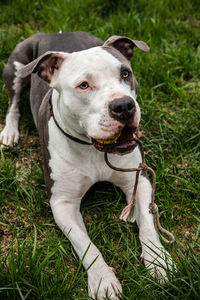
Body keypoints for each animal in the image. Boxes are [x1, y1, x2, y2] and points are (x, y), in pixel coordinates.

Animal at [0, 31, 173, 298]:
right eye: (84, 85)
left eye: (125, 73)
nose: (123, 106)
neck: (94, 150)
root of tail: (55, 32)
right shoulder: (63, 203)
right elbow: (85, 244)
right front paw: (102, 280)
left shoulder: (138, 179)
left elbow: (147, 222)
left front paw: (158, 261)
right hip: (16, 69)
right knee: (13, 104)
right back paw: (9, 132)